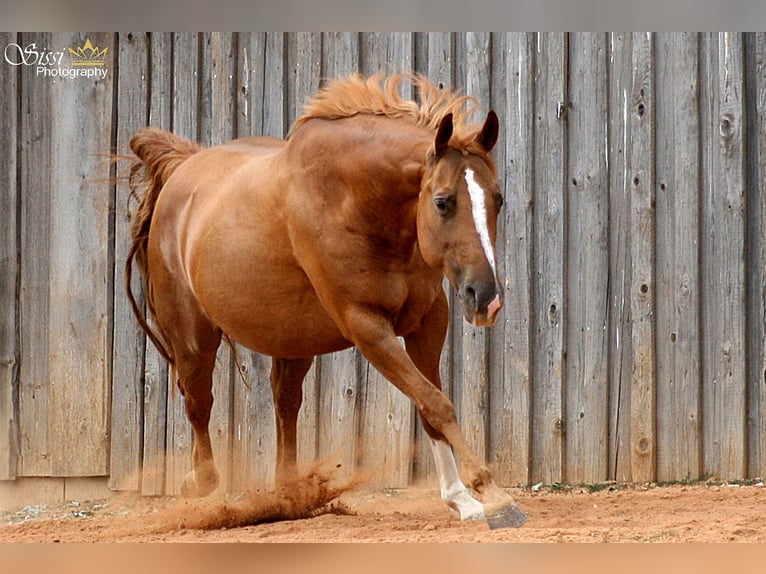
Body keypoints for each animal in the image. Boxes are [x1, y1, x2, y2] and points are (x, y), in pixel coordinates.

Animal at [126, 73, 525, 528]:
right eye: (442, 201)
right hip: (194, 339)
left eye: (498, 199)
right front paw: (492, 494)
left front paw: (461, 498)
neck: (357, 202)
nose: (486, 299)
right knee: (199, 403)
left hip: (292, 341)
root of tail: (184, 167)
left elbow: (430, 406)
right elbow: (437, 404)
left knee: (284, 402)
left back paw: (289, 493)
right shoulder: (367, 327)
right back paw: (202, 489)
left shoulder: (427, 322)